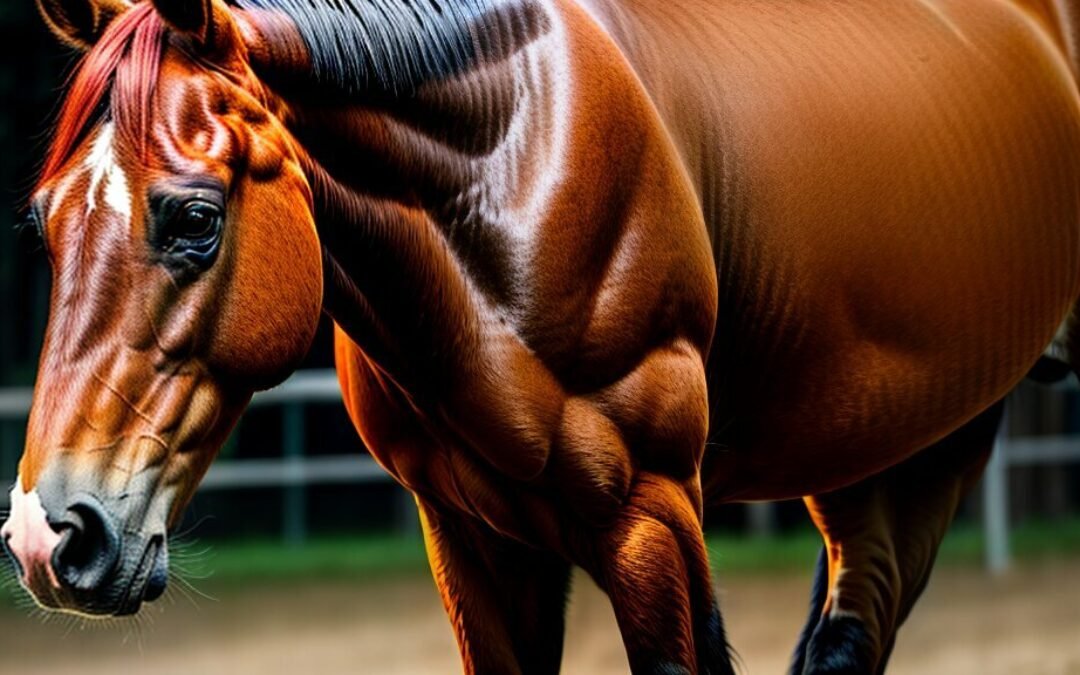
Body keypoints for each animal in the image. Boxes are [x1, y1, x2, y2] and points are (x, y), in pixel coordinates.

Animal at [3, 0, 1079, 672]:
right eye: (47, 221)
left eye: (194, 217)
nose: (49, 537)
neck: (511, 164)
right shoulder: (471, 538)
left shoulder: (653, 517)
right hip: (910, 443)